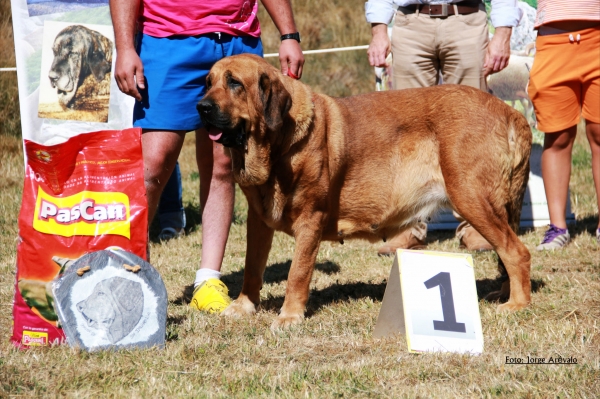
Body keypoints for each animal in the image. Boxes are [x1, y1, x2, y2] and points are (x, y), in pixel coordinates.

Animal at [199, 54, 532, 330]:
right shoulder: (258, 221)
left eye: (234, 82)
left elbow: (297, 272)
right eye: (208, 82)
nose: (201, 106)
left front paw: (289, 316)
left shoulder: (310, 220)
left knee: (516, 251)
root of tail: (511, 114)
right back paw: (505, 293)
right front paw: (243, 306)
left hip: (471, 198)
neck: (278, 145)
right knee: (508, 252)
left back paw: (516, 304)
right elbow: (252, 267)